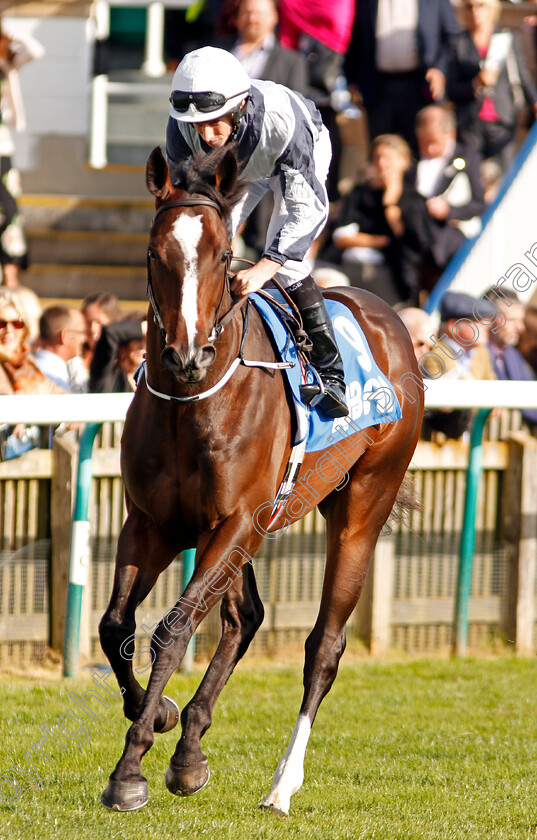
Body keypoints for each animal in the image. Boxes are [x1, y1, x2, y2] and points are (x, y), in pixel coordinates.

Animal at [97, 143, 422, 812]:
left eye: (223, 256)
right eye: (154, 252)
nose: (187, 356)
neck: (190, 401)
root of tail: (390, 316)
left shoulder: (232, 520)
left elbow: (173, 628)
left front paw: (130, 769)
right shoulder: (154, 524)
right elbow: (116, 625)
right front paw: (159, 715)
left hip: (360, 507)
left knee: (323, 645)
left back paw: (282, 783)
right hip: (252, 529)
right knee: (244, 618)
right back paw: (190, 751)